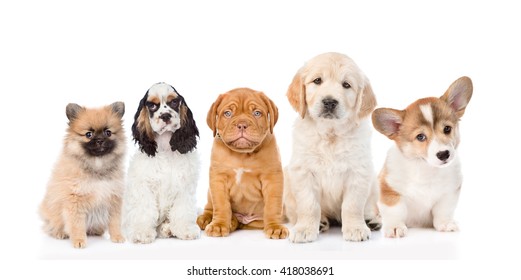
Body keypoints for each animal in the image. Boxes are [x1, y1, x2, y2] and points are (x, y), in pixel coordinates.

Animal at [39, 101, 127, 248]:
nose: (100, 140)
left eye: (108, 132)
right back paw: (60, 233)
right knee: (52, 226)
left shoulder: (113, 198)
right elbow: (77, 225)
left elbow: (114, 222)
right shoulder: (75, 200)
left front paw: (117, 236)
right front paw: (79, 240)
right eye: (88, 134)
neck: (97, 166)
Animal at [197, 87, 288, 238]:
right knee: (210, 207)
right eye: (227, 113)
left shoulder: (272, 178)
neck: (242, 154)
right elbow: (221, 205)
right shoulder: (218, 179)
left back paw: (233, 222)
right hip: (210, 191)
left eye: (257, 113)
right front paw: (218, 225)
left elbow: (272, 205)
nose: (242, 125)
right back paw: (207, 219)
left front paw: (275, 227)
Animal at [282, 52, 380, 243]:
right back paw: (320, 222)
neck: (330, 134)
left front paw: (356, 228)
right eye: (317, 80)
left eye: (346, 85)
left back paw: (371, 220)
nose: (329, 102)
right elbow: (309, 204)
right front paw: (305, 228)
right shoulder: (303, 171)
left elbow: (352, 205)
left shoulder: (359, 172)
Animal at [370, 76, 472, 238]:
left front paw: (445, 223)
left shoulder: (449, 192)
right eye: (420, 137)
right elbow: (395, 211)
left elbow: (443, 210)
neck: (426, 168)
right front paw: (395, 226)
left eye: (447, 129)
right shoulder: (389, 189)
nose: (444, 154)